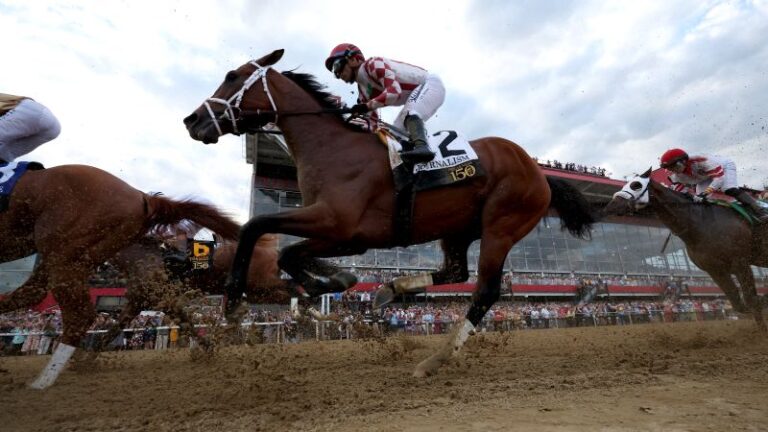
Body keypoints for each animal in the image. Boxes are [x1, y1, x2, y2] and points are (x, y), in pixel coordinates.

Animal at [183, 49, 596, 377]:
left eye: (232, 76)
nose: (192, 121)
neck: (331, 148)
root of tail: (539, 173)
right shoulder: (346, 236)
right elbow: (289, 252)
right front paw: (326, 286)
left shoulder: (339, 225)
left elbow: (257, 228)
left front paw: (235, 304)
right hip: (458, 229)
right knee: (455, 273)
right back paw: (389, 289)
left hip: (501, 225)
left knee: (484, 291)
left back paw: (435, 359)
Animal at [604, 168, 768, 330]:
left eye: (636, 185)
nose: (611, 205)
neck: (701, 223)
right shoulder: (715, 270)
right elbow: (738, 303)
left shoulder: (741, 263)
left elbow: (752, 300)